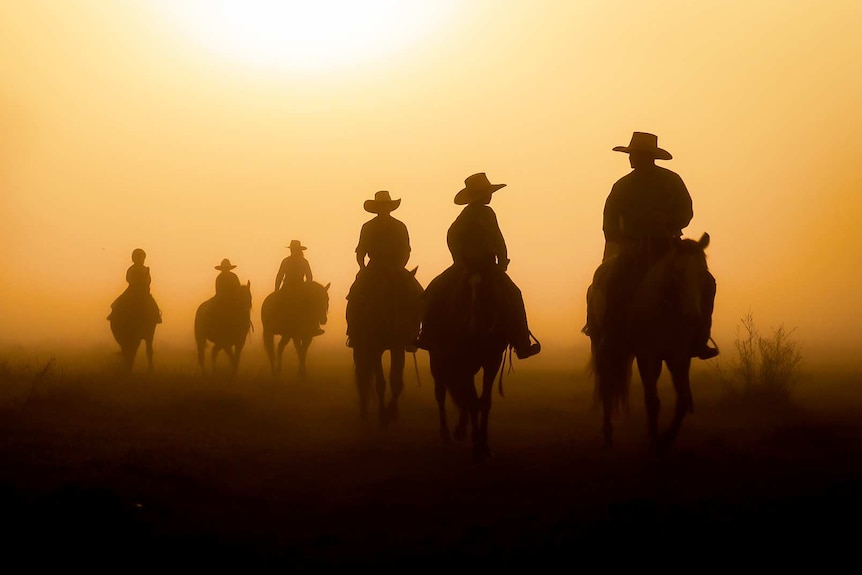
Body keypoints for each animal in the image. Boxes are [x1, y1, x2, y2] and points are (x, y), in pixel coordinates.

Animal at [346, 268, 424, 426]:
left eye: (413, 298)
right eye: (389, 295)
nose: (404, 331)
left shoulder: (397, 347)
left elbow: (396, 380)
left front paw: (392, 411)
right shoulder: (374, 348)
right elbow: (380, 382)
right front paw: (382, 414)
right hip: (359, 346)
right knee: (361, 373)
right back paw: (363, 408)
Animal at [424, 266, 512, 464]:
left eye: (487, 290)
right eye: (464, 291)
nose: (475, 325)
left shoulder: (492, 362)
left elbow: (484, 401)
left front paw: (485, 446)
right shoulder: (462, 362)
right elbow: (472, 401)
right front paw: (477, 448)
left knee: (462, 395)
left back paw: (461, 430)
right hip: (438, 362)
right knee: (441, 394)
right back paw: (446, 435)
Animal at [588, 234, 716, 454]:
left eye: (702, 274)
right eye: (677, 272)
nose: (693, 316)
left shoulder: (679, 357)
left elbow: (682, 399)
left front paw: (665, 438)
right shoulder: (647, 356)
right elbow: (652, 401)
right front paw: (656, 442)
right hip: (604, 349)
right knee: (606, 387)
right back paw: (608, 436)